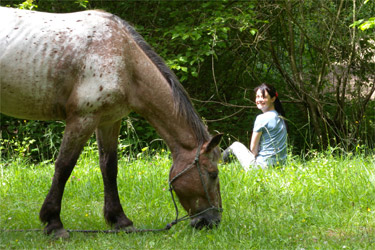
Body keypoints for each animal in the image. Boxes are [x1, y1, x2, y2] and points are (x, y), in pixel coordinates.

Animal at [0, 6, 223, 237]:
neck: (124, 59)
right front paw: (54, 223)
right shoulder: (83, 118)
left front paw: (120, 220)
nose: (212, 221)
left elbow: (109, 167)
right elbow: (64, 166)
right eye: (213, 174)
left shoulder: (108, 121)